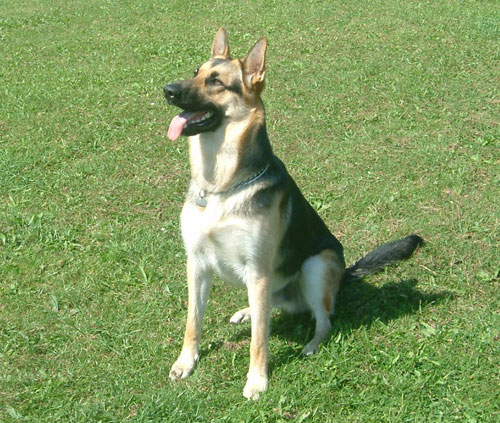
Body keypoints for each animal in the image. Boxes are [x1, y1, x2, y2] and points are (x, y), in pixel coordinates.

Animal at [164, 27, 422, 400]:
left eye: (215, 81)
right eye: (195, 72)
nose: (167, 90)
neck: (223, 186)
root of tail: (345, 276)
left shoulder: (258, 270)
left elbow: (259, 339)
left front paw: (257, 380)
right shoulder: (197, 264)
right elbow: (193, 322)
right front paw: (186, 362)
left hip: (316, 265)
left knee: (323, 320)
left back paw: (312, 344)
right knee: (270, 308)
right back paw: (247, 311)